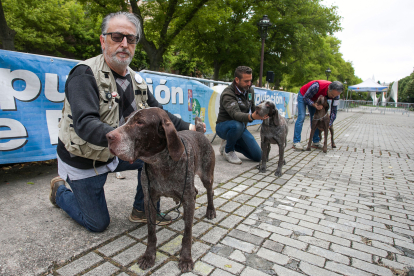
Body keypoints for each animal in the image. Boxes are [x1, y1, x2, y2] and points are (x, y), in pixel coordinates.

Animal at [106, 108, 217, 272]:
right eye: (126, 120)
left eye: (140, 122)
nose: (108, 136)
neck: (161, 163)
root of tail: (199, 132)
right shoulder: (149, 200)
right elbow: (151, 232)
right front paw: (149, 256)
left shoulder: (187, 197)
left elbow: (187, 234)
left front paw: (186, 258)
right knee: (196, 193)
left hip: (206, 176)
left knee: (210, 192)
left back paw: (210, 210)